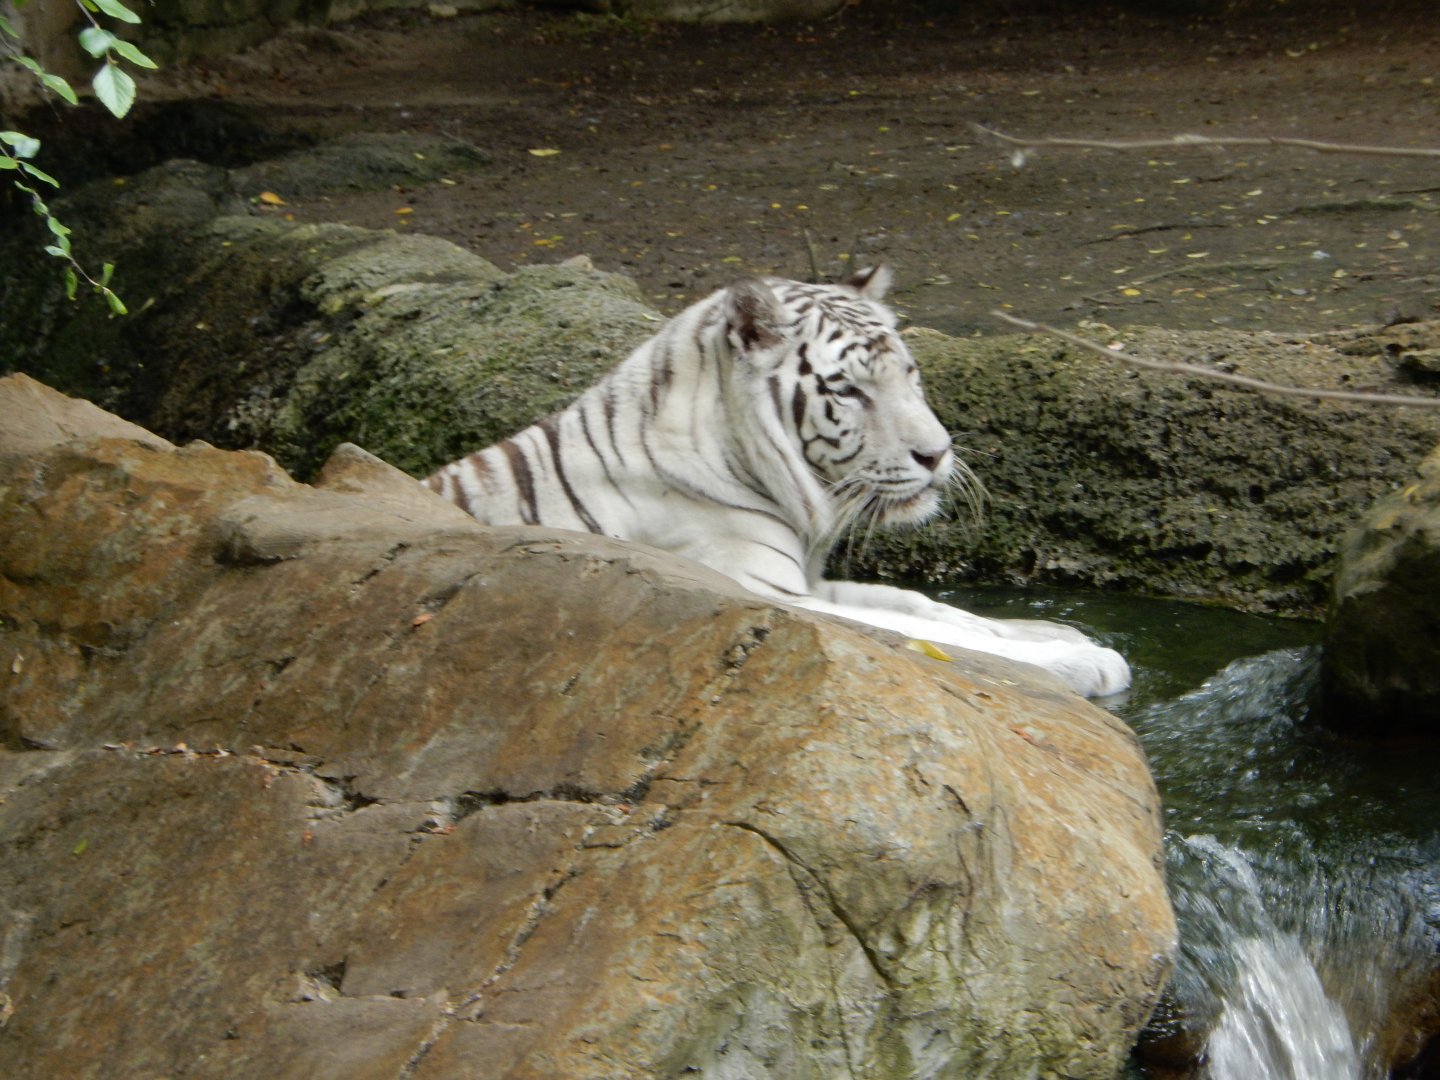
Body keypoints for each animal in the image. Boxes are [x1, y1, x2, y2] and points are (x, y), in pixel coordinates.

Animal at [424, 266, 1130, 697]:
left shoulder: (807, 579)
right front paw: (1086, 660)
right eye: (848, 391)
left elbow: (925, 606)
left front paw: (1056, 632)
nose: (937, 454)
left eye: (910, 373)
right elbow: (932, 633)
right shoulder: (764, 590)